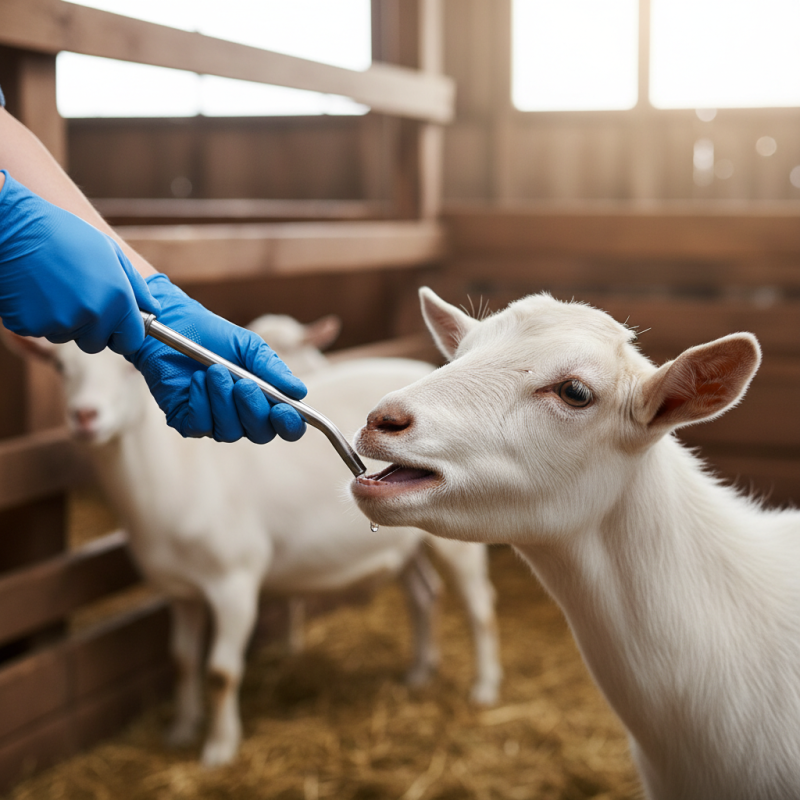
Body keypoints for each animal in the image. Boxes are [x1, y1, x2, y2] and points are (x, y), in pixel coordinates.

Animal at [6, 315, 502, 767]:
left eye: (129, 368)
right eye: (59, 366)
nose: (84, 416)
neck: (176, 472)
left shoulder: (234, 581)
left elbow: (221, 673)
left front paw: (219, 750)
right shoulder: (178, 590)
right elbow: (182, 660)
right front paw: (181, 730)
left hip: (459, 539)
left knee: (479, 605)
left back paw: (484, 687)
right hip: (402, 542)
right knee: (423, 595)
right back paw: (419, 672)